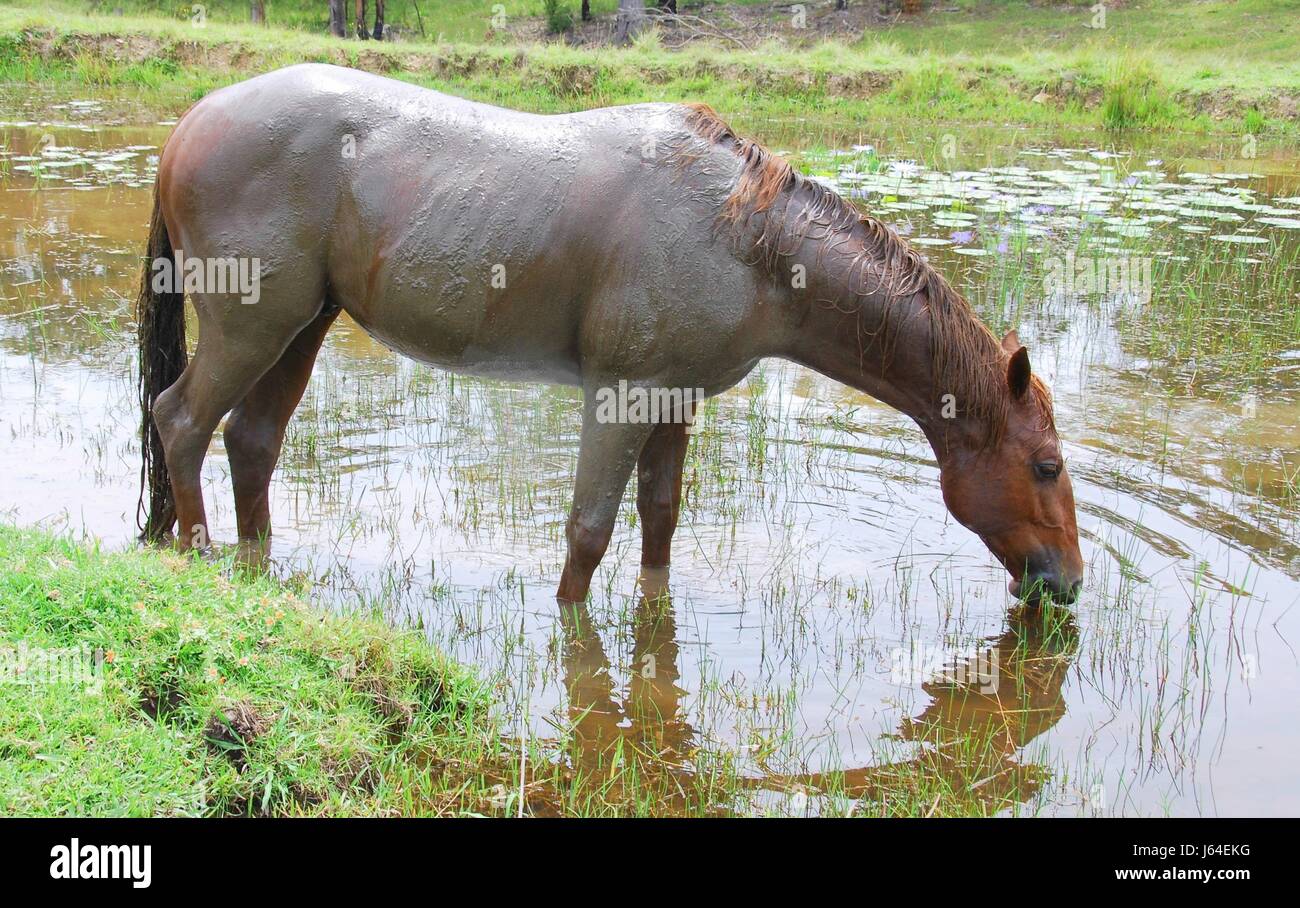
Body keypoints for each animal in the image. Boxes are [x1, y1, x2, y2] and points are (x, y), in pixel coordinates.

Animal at [134, 61, 1086, 600]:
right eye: (1046, 466)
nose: (1069, 586)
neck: (748, 243)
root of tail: (191, 120)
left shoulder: (675, 403)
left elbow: (658, 524)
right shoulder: (621, 397)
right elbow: (589, 532)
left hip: (300, 327)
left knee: (252, 440)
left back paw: (259, 570)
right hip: (249, 329)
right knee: (181, 420)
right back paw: (199, 555)